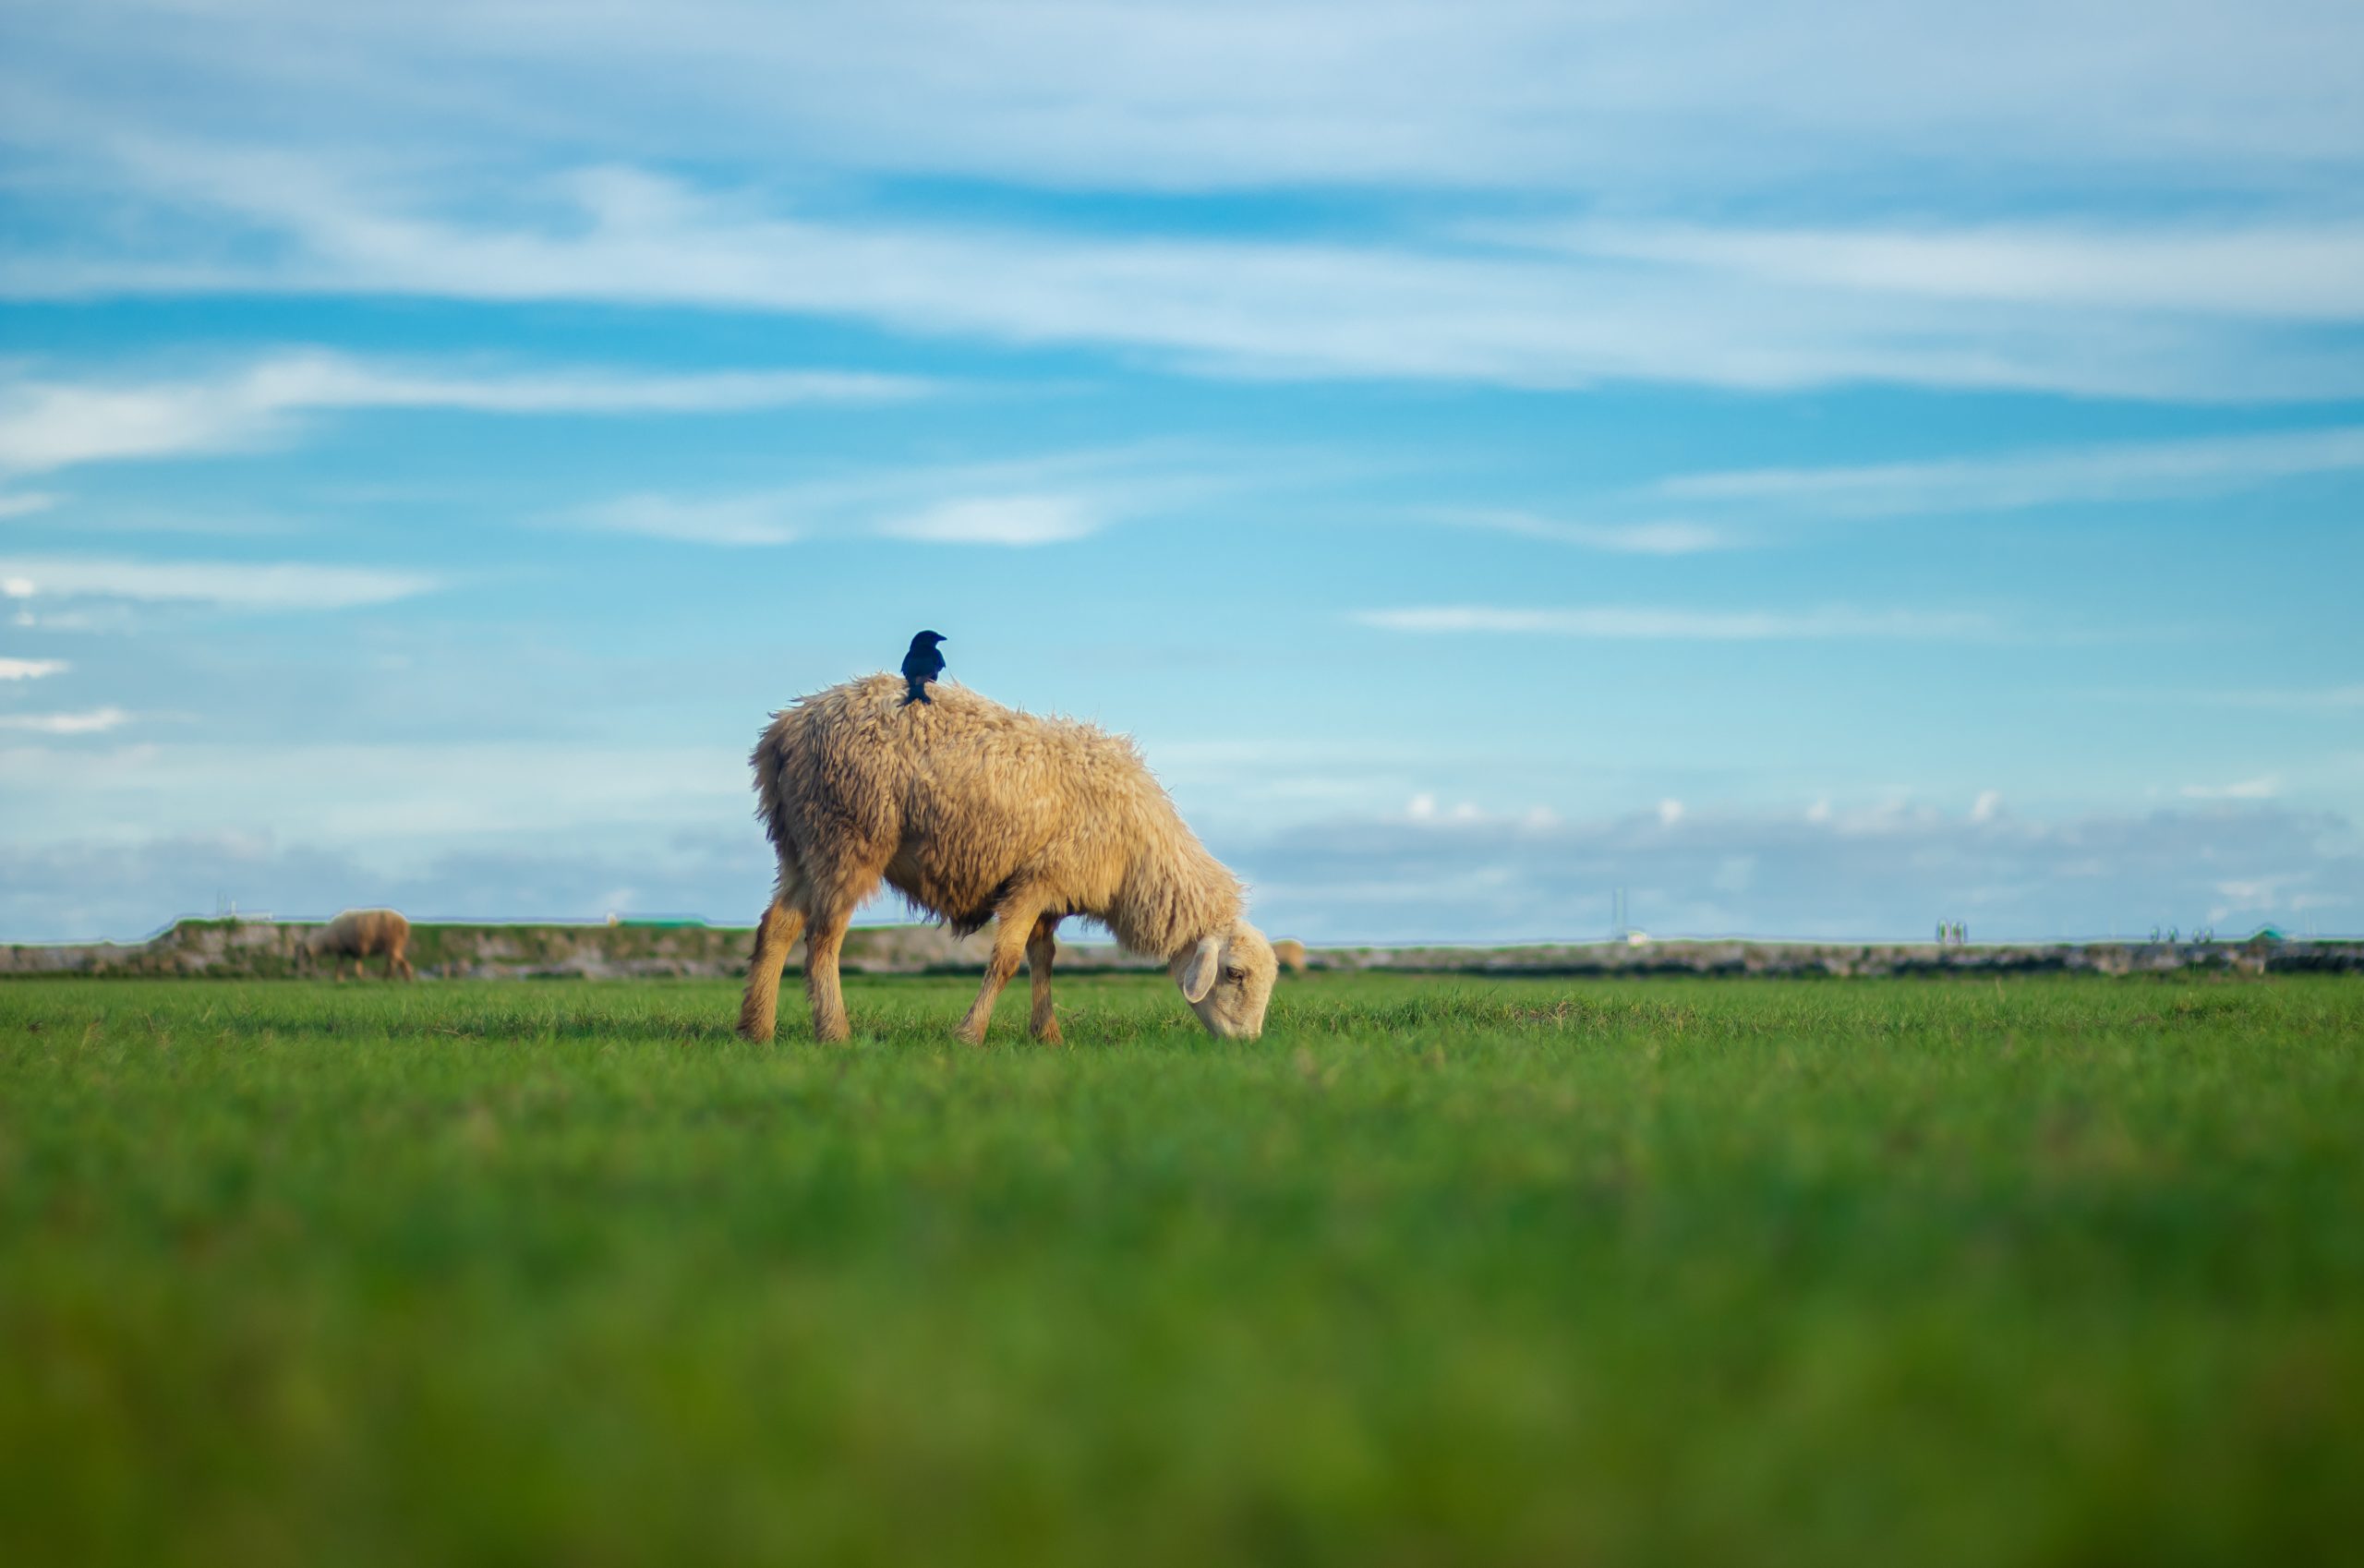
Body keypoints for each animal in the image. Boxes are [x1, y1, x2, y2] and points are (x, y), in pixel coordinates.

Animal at [737, 674, 1277, 1046]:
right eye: (1235, 974)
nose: (1248, 1045)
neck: (1139, 856)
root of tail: (786, 729)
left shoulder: (1053, 895)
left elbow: (1043, 961)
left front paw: (1047, 1036)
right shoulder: (1035, 880)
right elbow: (1006, 961)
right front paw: (969, 1036)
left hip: (802, 841)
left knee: (778, 926)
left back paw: (756, 1029)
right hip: (848, 835)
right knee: (823, 938)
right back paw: (834, 1032)